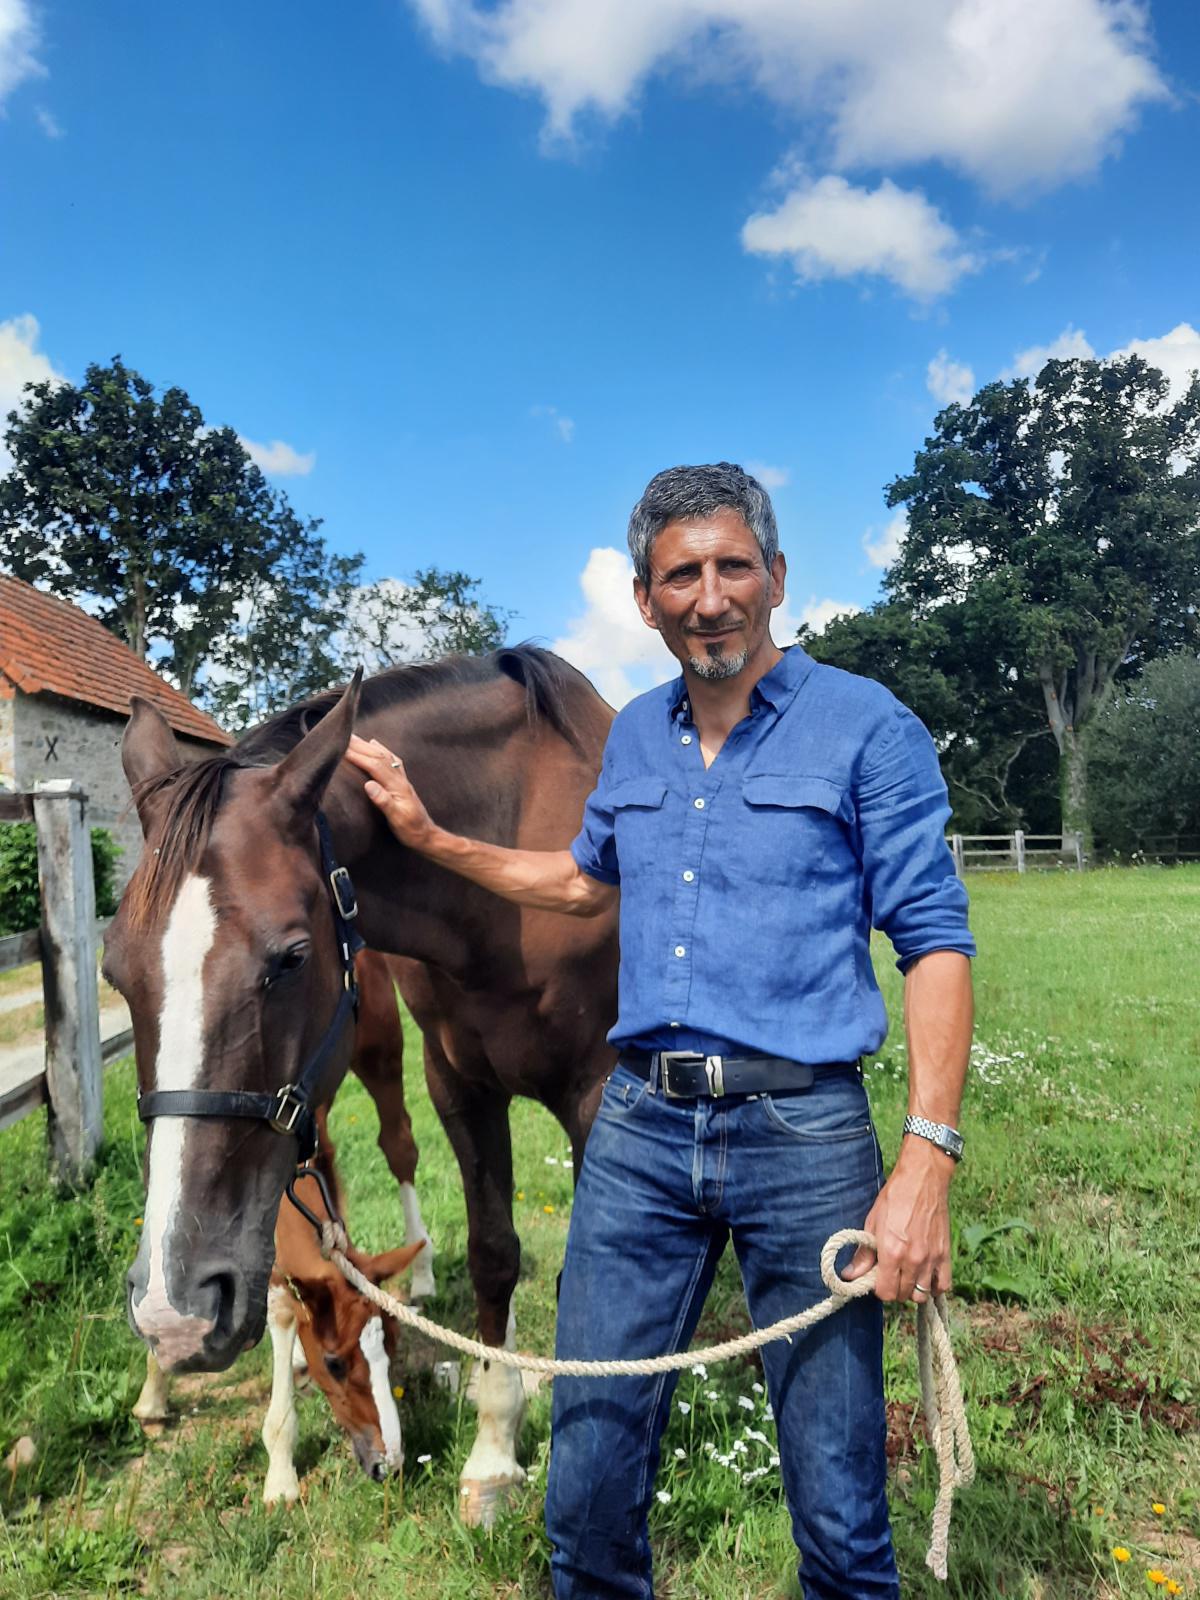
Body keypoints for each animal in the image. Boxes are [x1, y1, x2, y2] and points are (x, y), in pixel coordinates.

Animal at [105, 643, 620, 1516]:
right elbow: (494, 1253)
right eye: (112, 968)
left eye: (291, 958)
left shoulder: (597, 1092)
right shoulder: (457, 1082)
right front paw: (495, 1451)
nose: (178, 1308)